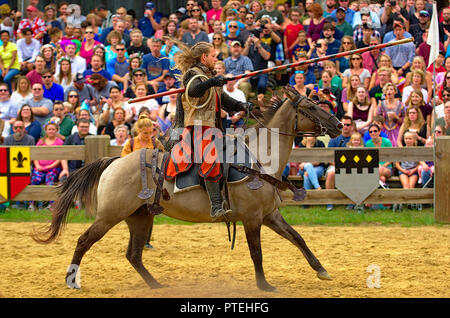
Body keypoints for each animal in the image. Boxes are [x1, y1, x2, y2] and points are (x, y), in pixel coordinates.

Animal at [32, 86, 342, 290]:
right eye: (311, 106)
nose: (338, 124)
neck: (259, 159)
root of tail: (113, 162)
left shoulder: (270, 216)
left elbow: (298, 238)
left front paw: (322, 270)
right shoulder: (253, 219)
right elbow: (257, 252)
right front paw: (264, 285)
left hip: (139, 217)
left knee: (133, 254)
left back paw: (156, 285)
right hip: (110, 216)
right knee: (84, 241)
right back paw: (71, 280)